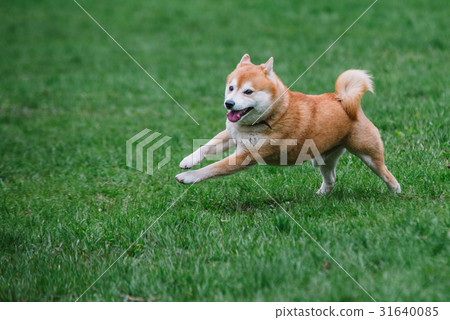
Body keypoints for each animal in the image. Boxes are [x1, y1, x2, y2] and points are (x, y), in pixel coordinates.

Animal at [175, 53, 400, 194]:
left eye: (248, 91)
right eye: (231, 88)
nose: (229, 104)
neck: (269, 117)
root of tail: (343, 100)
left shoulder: (246, 156)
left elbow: (213, 168)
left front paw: (189, 176)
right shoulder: (232, 133)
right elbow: (207, 146)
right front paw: (189, 160)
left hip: (369, 154)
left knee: (385, 173)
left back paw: (395, 191)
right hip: (322, 159)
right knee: (331, 178)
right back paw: (321, 194)